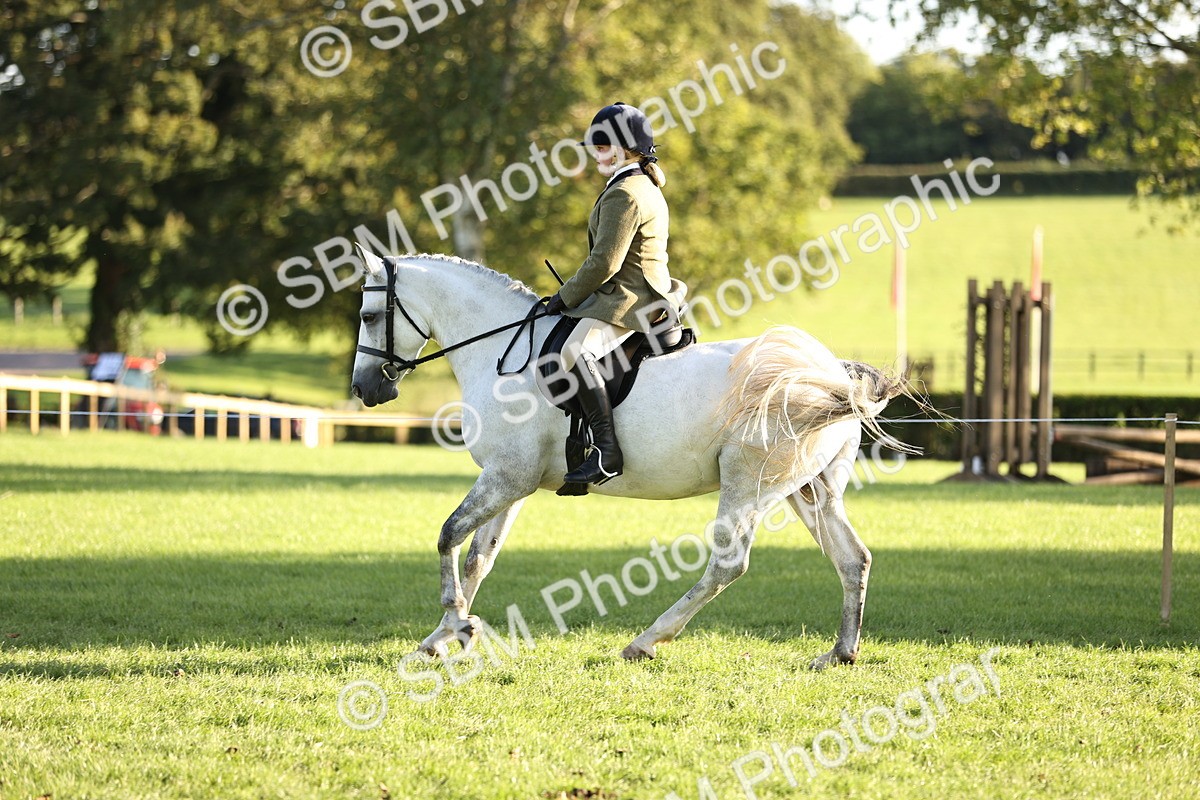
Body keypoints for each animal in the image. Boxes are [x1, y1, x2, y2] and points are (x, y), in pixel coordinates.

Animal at [349, 250, 908, 669]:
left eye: (368, 316)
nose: (365, 389)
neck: (501, 354)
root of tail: (829, 373)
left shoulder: (507, 477)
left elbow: (448, 535)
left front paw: (455, 624)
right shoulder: (512, 482)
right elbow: (478, 557)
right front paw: (443, 639)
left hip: (747, 483)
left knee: (728, 565)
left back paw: (645, 641)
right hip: (809, 489)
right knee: (852, 558)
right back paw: (840, 652)